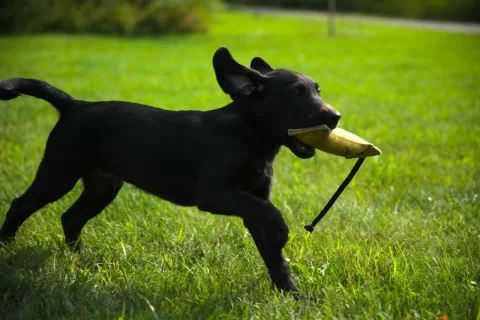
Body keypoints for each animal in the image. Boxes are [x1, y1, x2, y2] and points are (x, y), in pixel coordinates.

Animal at [0, 47, 342, 296]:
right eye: (297, 93)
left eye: (317, 90)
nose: (336, 116)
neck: (250, 137)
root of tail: (74, 105)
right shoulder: (216, 194)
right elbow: (271, 214)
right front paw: (283, 233)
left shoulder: (251, 201)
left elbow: (274, 257)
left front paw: (293, 296)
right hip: (60, 172)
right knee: (21, 205)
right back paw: (6, 248)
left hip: (103, 185)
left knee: (71, 217)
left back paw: (79, 261)